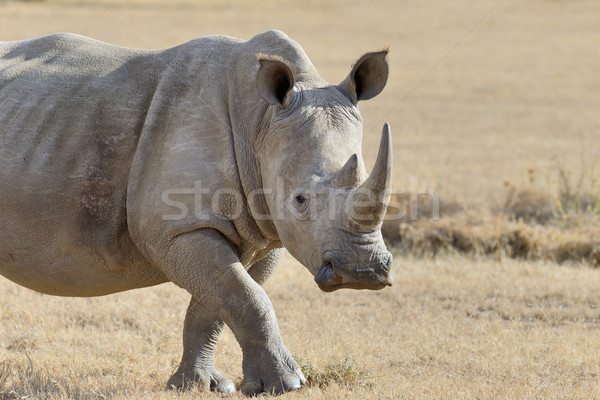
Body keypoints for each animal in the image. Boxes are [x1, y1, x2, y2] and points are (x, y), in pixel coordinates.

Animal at [1, 30, 394, 394]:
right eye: (300, 200)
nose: (362, 271)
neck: (260, 123)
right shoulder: (177, 230)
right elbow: (248, 298)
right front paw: (289, 384)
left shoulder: (266, 234)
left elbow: (219, 304)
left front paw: (201, 385)